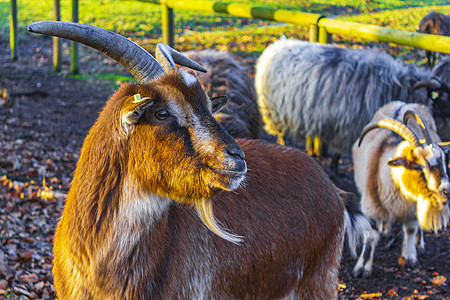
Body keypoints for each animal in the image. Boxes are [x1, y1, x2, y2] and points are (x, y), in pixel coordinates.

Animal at [255, 38, 450, 163]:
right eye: (442, 96)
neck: (396, 86)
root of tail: (274, 46)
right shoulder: (347, 127)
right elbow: (338, 154)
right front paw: (334, 169)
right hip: (272, 110)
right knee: (280, 133)